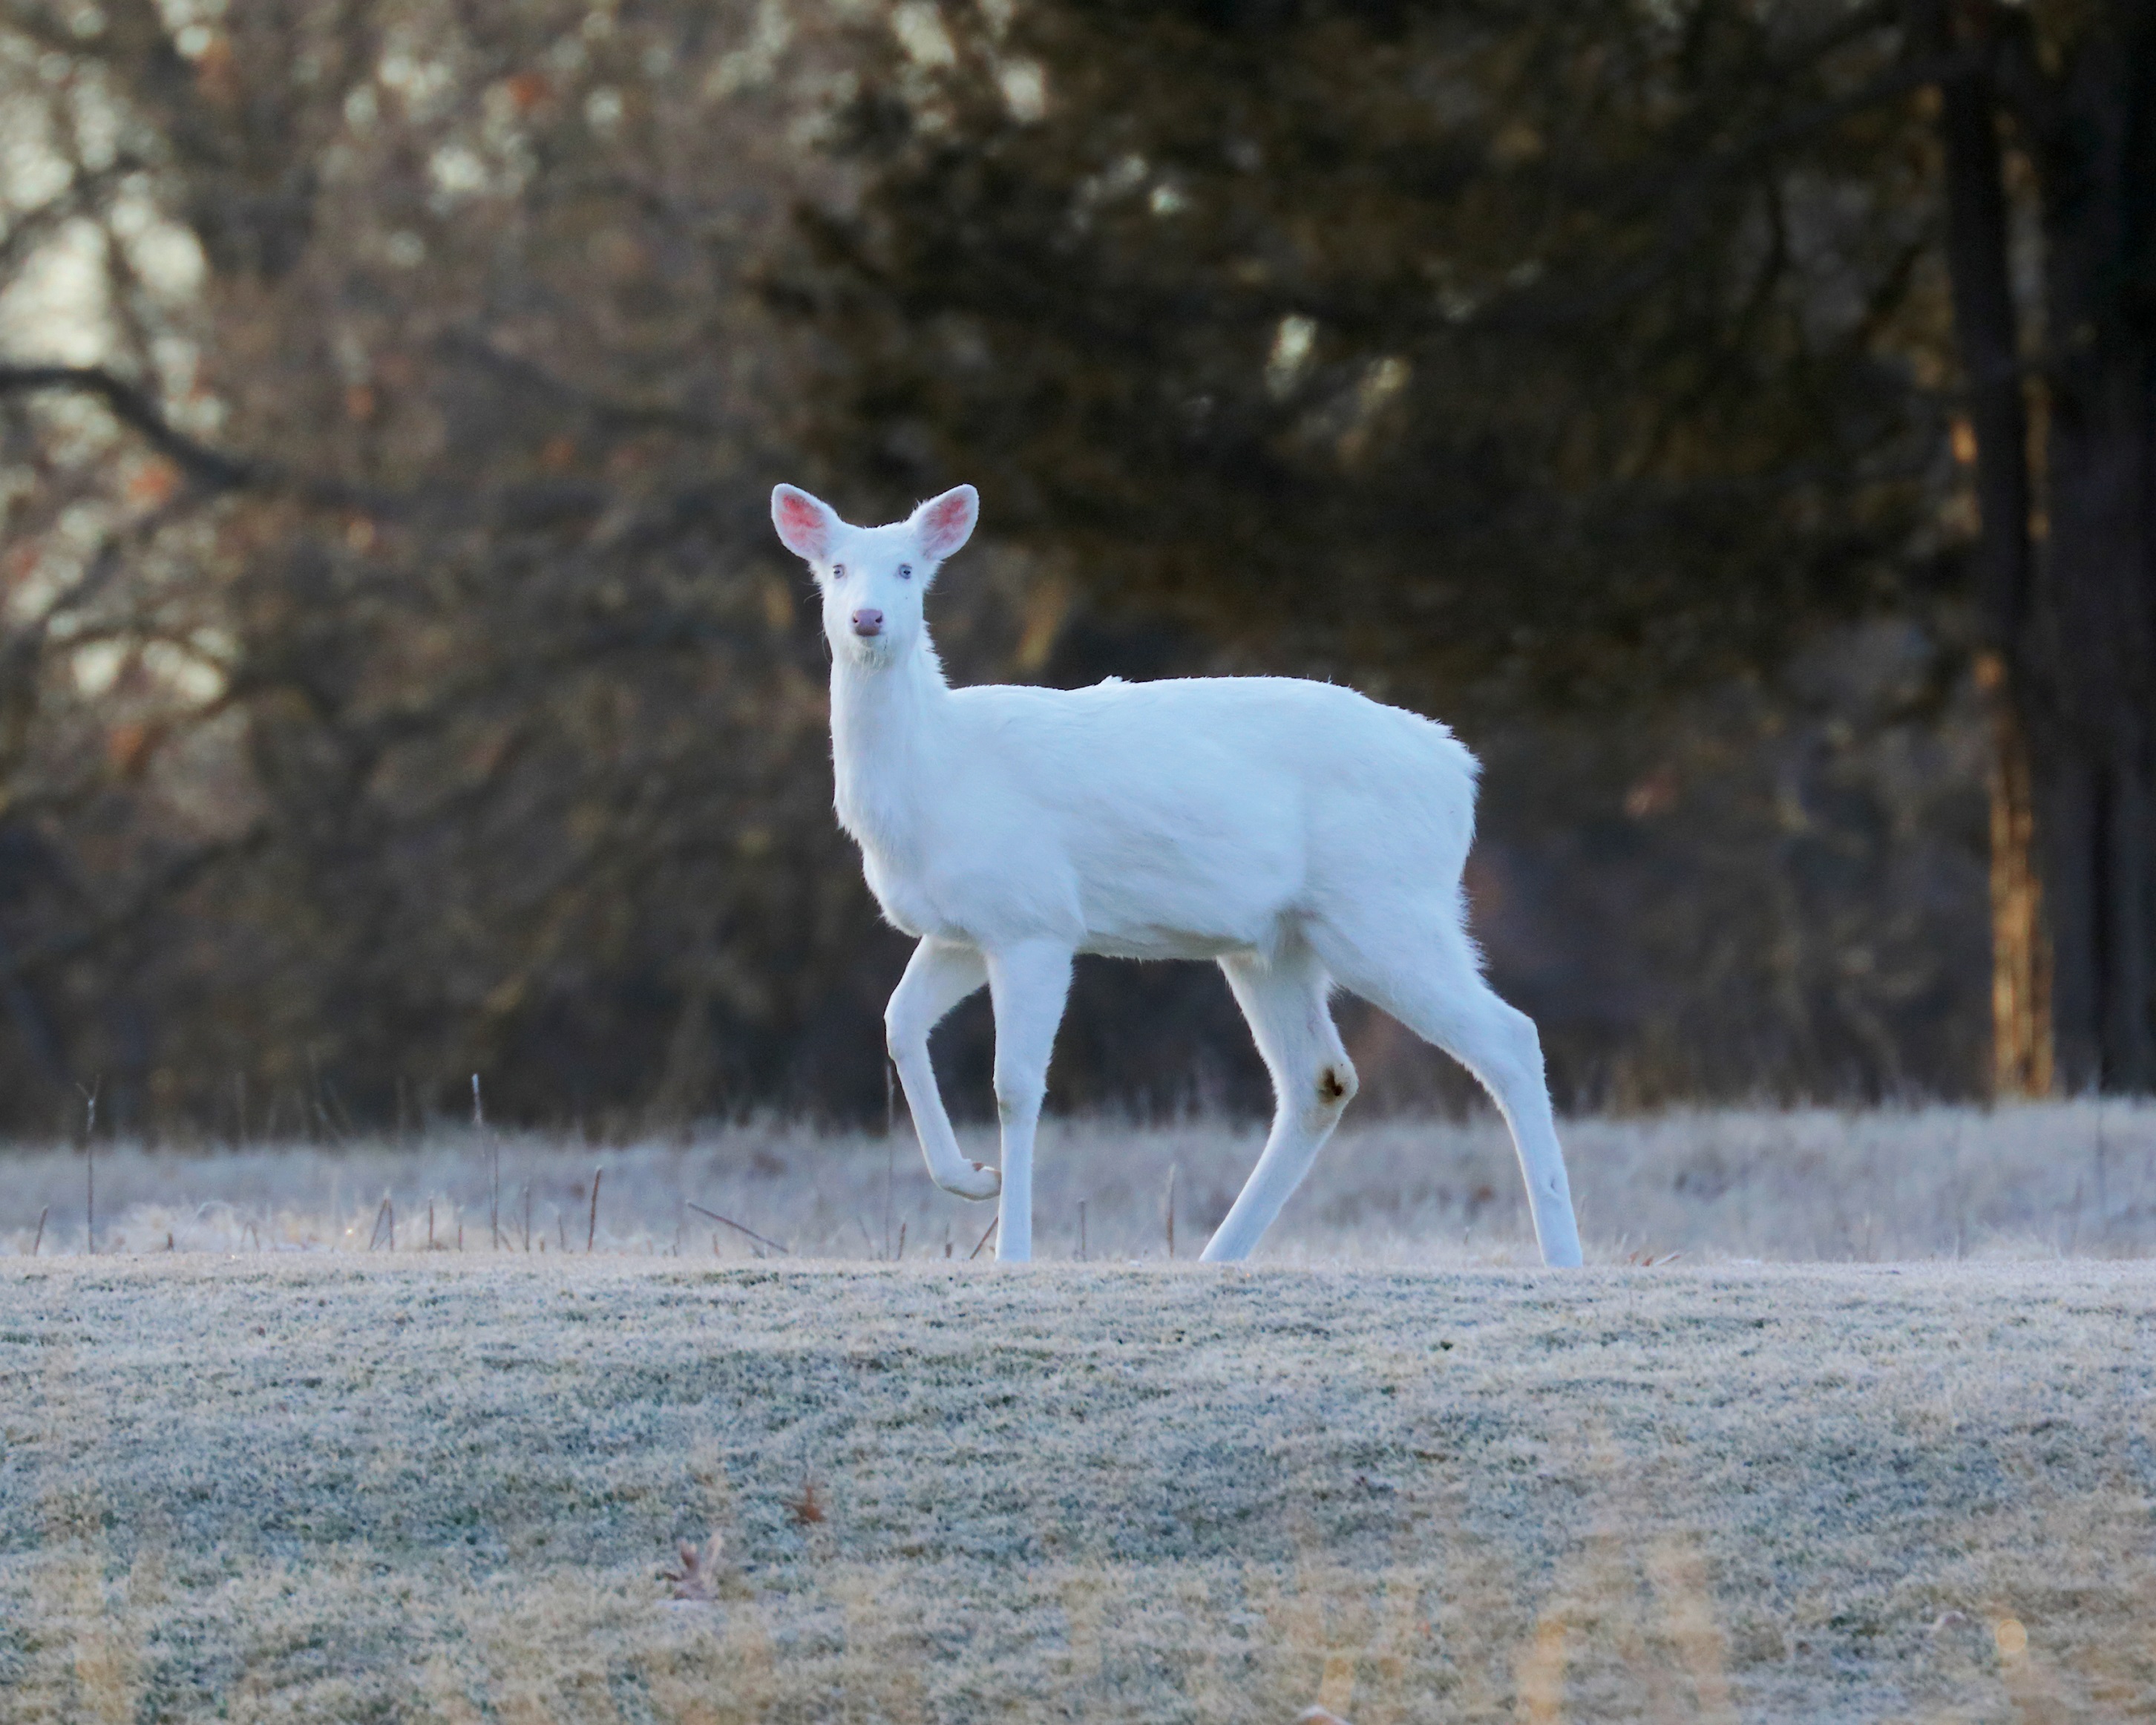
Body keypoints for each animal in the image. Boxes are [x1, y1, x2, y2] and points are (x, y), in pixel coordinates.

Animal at [771, 485, 1587, 1268]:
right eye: (836, 568)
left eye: (910, 568)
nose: (868, 617)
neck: (933, 777)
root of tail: (1458, 772)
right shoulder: (964, 929)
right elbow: (898, 1021)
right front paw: (971, 1178)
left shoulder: (1036, 918)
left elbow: (1015, 1088)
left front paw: (1012, 1249)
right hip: (1278, 943)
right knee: (1321, 1079)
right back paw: (1216, 1254)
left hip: (1384, 908)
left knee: (1510, 1038)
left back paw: (1562, 1254)